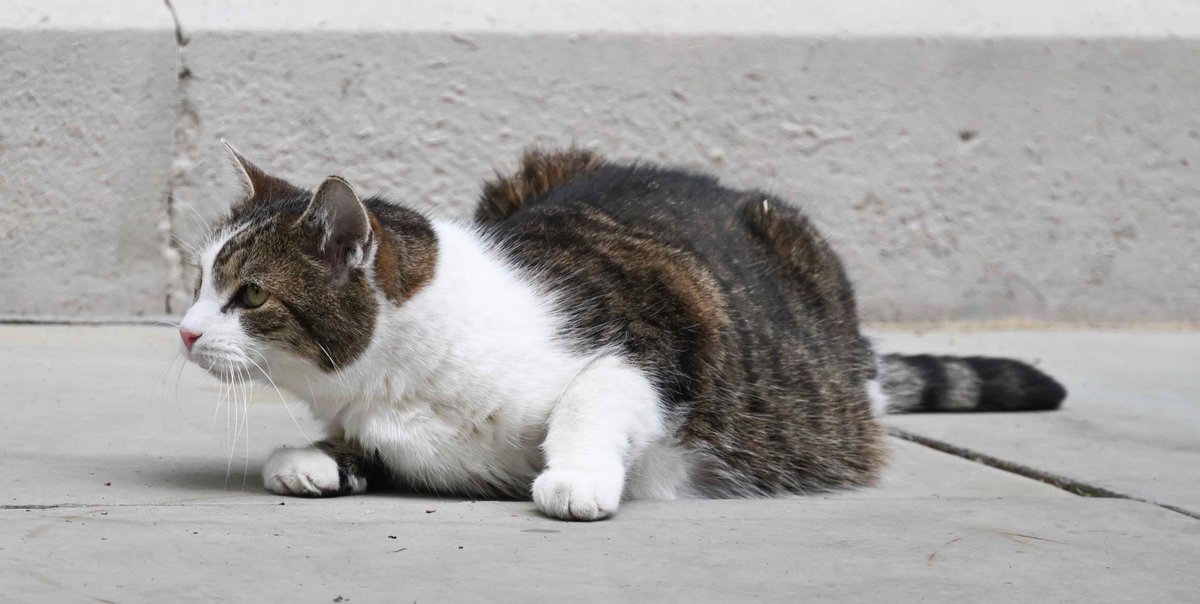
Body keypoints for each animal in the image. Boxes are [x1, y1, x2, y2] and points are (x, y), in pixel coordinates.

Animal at [175, 144, 1060, 523]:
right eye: (199, 281)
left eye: (249, 294)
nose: (182, 332)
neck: (399, 382)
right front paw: (317, 459)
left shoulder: (663, 327)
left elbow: (596, 393)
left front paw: (574, 479)